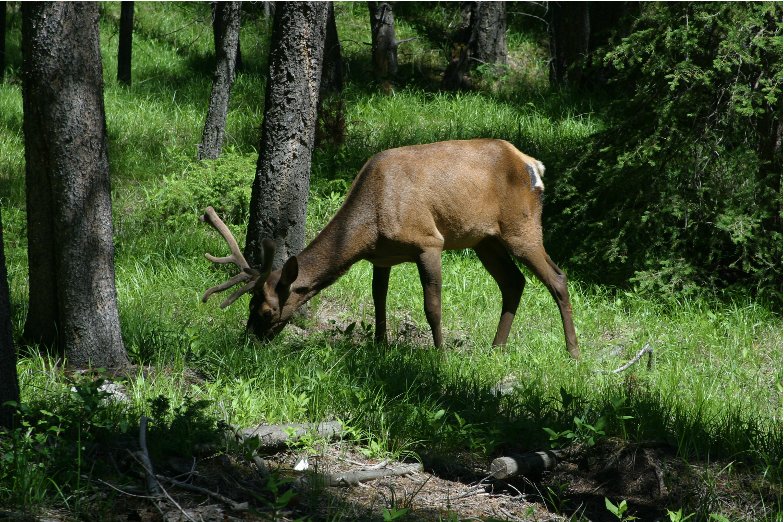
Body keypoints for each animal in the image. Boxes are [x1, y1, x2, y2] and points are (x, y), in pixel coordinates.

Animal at [202, 138, 580, 358]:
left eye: (266, 311)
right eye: (249, 304)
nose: (247, 341)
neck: (370, 224)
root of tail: (534, 165)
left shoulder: (429, 242)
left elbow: (432, 306)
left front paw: (439, 356)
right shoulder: (381, 257)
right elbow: (378, 299)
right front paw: (380, 346)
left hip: (521, 228)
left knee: (558, 278)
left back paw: (573, 353)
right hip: (485, 240)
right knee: (514, 282)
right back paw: (496, 349)